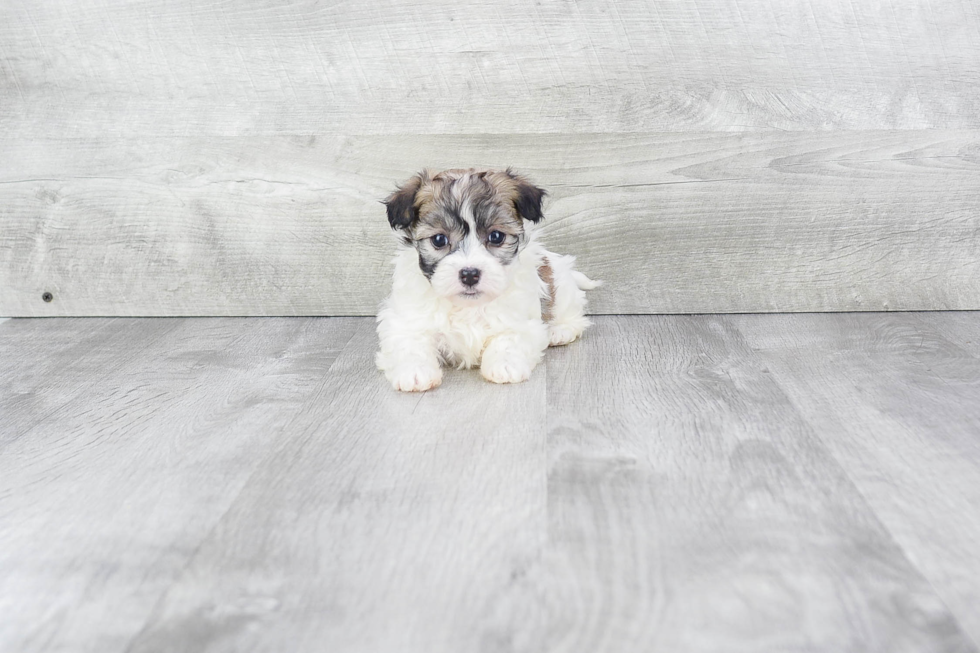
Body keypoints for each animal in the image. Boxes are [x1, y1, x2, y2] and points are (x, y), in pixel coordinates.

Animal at [378, 168, 600, 392]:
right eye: (439, 239)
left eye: (496, 236)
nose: (469, 274)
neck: (467, 306)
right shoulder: (407, 318)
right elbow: (410, 340)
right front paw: (414, 372)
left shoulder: (520, 319)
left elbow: (509, 338)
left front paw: (505, 365)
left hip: (563, 289)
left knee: (573, 314)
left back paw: (559, 331)